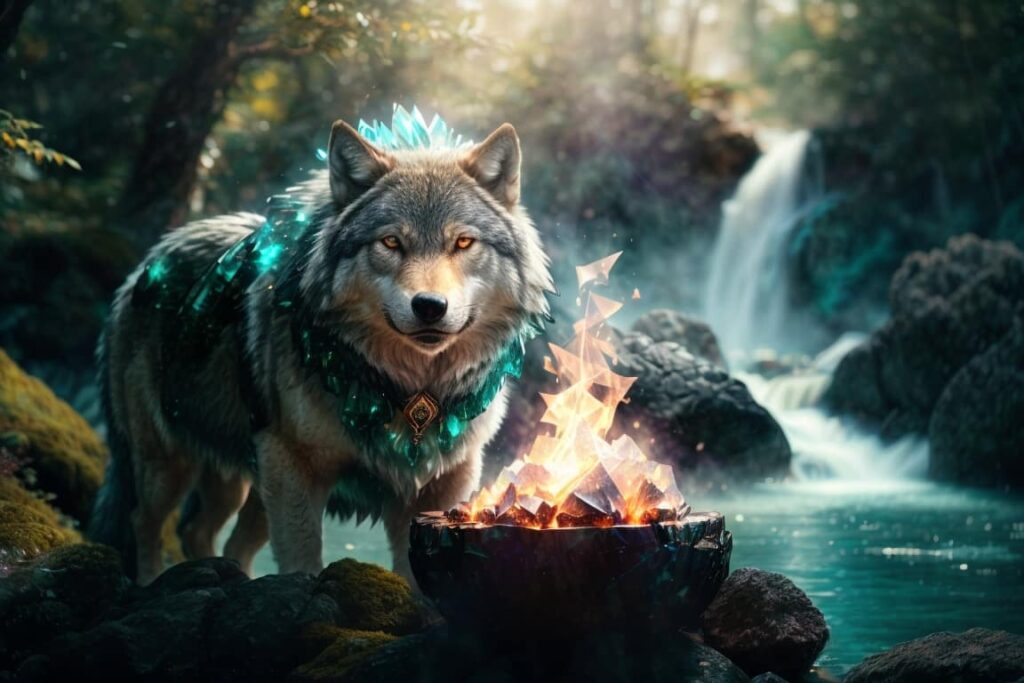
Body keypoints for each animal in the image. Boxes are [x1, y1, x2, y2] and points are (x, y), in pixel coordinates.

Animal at [89, 114, 552, 585]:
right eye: (390, 243)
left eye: (462, 243)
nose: (429, 306)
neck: (410, 391)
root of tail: (147, 262)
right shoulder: (295, 468)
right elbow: (302, 561)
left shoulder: (443, 483)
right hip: (171, 465)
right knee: (146, 524)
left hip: (244, 480)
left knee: (208, 534)